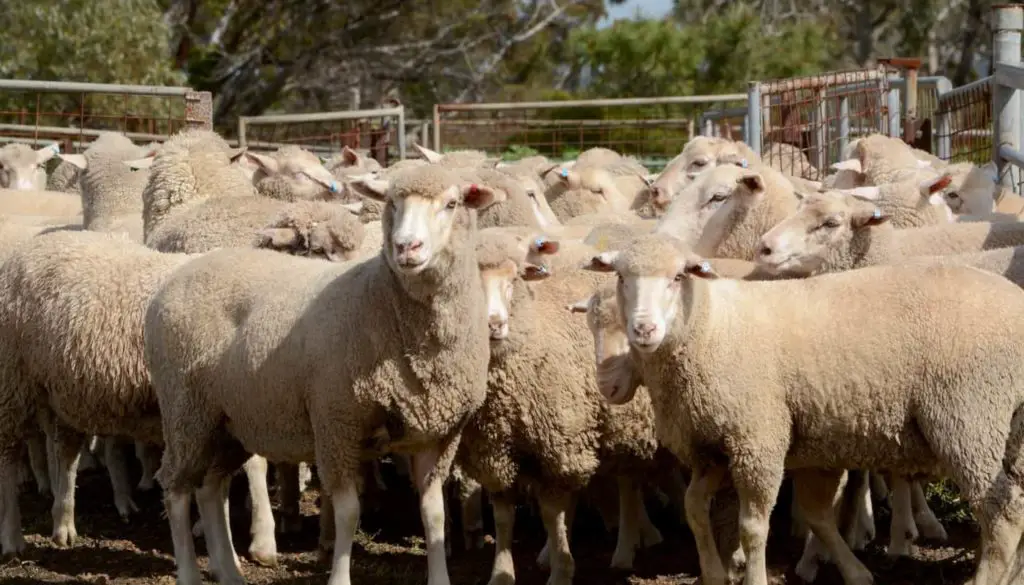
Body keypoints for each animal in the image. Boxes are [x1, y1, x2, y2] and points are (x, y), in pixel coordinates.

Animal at [142, 164, 501, 585]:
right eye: (392, 203)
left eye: (452, 204)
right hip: (185, 410)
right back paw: (189, 571)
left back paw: (230, 572)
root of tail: (177, 276)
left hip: (227, 420)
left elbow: (433, 515)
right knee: (176, 489)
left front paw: (439, 576)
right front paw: (339, 576)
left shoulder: (438, 434)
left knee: (211, 488)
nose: (406, 248)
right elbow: (348, 512)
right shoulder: (337, 422)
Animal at [585, 231, 1024, 585]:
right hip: (1008, 429)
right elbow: (699, 509)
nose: (644, 329)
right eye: (621, 277)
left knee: (1003, 515)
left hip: (970, 419)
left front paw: (755, 578)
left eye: (678, 277)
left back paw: (986, 579)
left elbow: (753, 527)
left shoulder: (758, 441)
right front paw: (714, 574)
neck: (710, 327)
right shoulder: (714, 448)